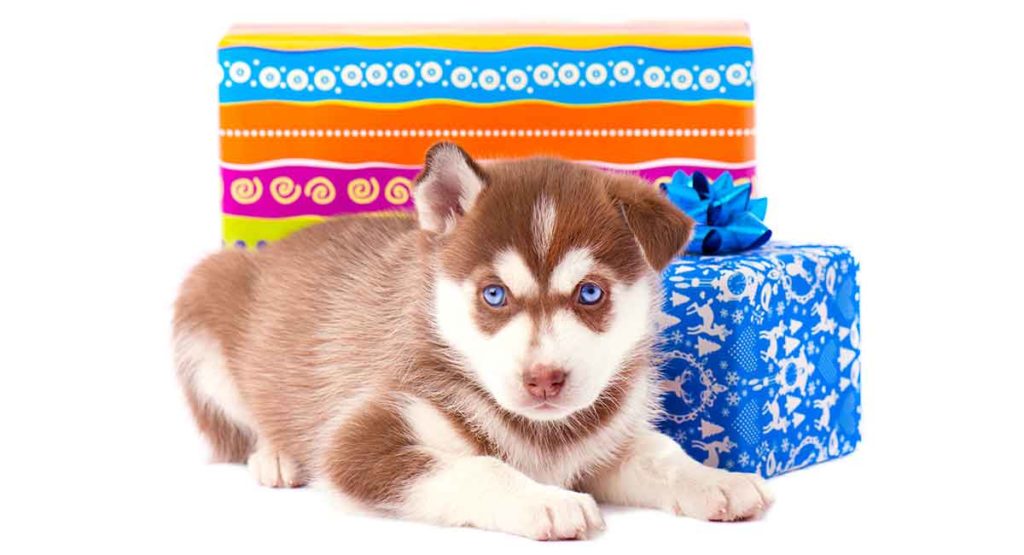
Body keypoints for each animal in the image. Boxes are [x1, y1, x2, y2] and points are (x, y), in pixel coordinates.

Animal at [174, 142, 770, 540]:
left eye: (590, 293)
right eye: (494, 294)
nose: (544, 380)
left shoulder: (604, 445)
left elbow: (660, 452)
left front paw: (715, 479)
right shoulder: (362, 440)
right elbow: (479, 466)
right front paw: (547, 501)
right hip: (202, 302)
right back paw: (275, 456)